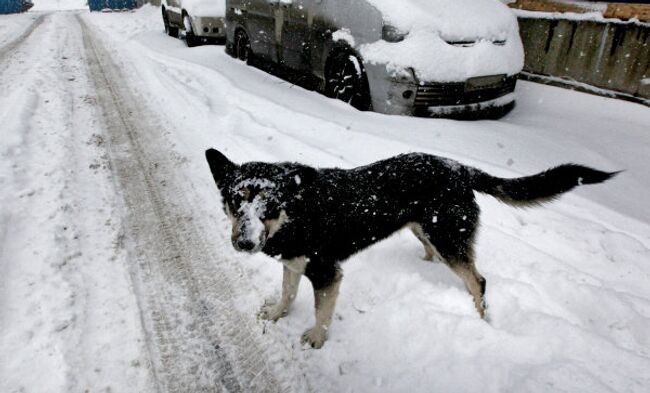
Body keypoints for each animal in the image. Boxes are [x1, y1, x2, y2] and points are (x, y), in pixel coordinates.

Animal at [205, 147, 616, 346]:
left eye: (269, 207)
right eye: (235, 202)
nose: (245, 242)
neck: (297, 211)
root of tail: (460, 167)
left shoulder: (326, 273)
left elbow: (321, 313)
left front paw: (317, 338)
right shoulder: (294, 263)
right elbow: (288, 293)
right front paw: (277, 313)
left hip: (448, 237)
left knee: (477, 280)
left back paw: (480, 318)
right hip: (425, 229)